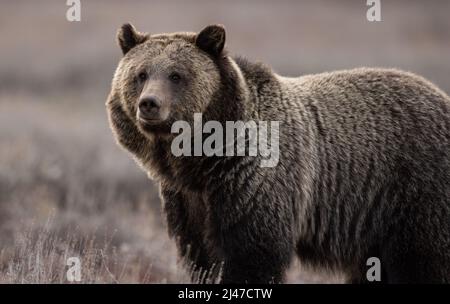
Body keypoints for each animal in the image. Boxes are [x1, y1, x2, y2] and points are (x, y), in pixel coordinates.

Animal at [107, 23, 450, 282]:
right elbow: (201, 256)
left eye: (176, 75)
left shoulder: (255, 184)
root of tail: (441, 96)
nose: (149, 104)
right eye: (140, 74)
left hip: (413, 192)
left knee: (422, 261)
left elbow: (253, 255)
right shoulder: (187, 198)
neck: (202, 160)